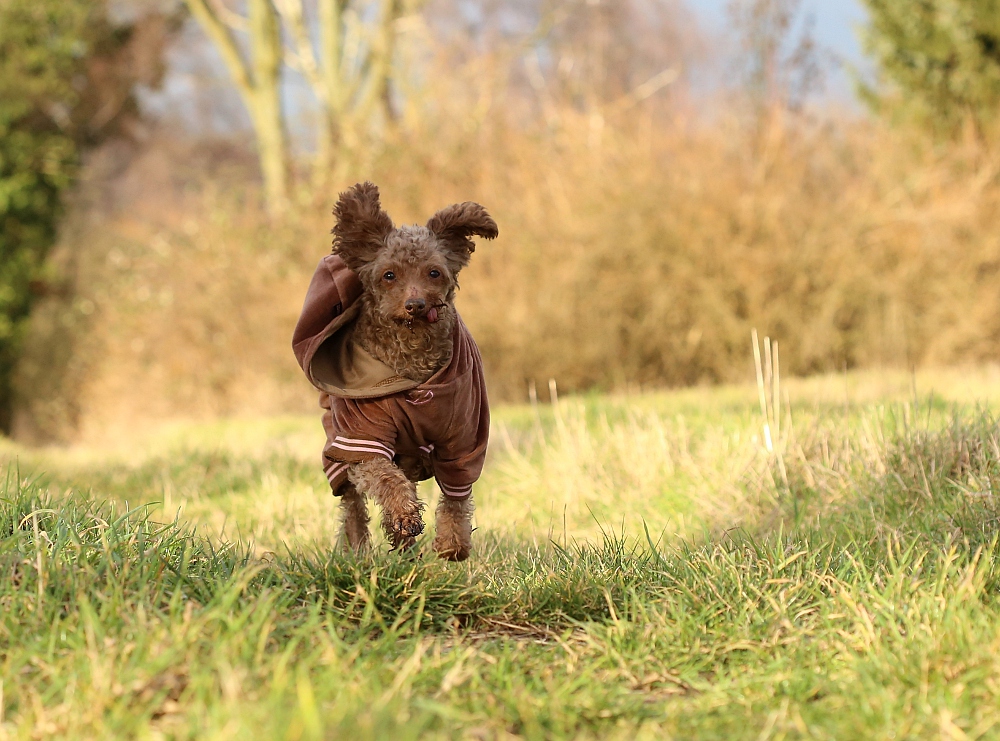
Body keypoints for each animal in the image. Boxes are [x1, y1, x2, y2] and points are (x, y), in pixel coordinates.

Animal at [294, 182, 498, 556]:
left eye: (434, 272)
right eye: (389, 275)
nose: (415, 304)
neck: (412, 355)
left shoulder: (464, 438)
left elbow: (456, 495)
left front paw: (453, 542)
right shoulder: (361, 435)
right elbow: (383, 476)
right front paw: (403, 515)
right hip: (337, 449)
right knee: (353, 502)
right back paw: (358, 547)